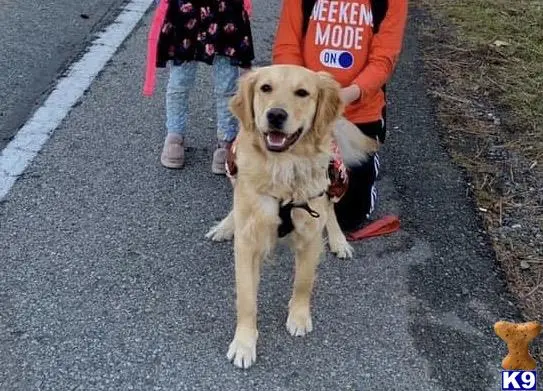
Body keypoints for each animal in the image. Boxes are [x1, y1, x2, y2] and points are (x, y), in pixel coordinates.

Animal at [206, 65, 380, 370]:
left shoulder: (310, 235)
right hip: (233, 165)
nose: (276, 115)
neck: (282, 169)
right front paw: (244, 343)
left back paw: (339, 240)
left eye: (302, 93)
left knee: (331, 209)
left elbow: (303, 281)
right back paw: (226, 225)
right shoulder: (247, 243)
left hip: (334, 177)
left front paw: (298, 317)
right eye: (265, 88)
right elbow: (246, 298)